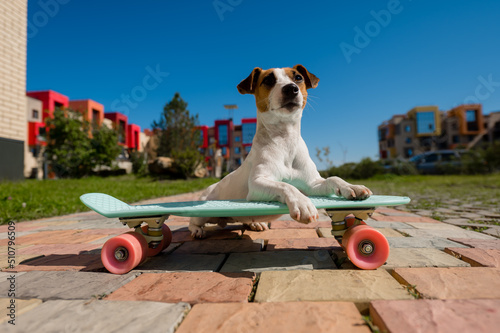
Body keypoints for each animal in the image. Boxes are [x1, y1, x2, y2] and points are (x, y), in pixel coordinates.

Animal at [189, 64, 374, 236]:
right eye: (268, 80)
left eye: (298, 77)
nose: (291, 88)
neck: (285, 140)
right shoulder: (257, 183)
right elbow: (286, 185)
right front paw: (303, 203)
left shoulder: (312, 184)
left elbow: (333, 178)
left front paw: (351, 187)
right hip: (202, 211)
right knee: (194, 221)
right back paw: (197, 230)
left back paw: (255, 223)